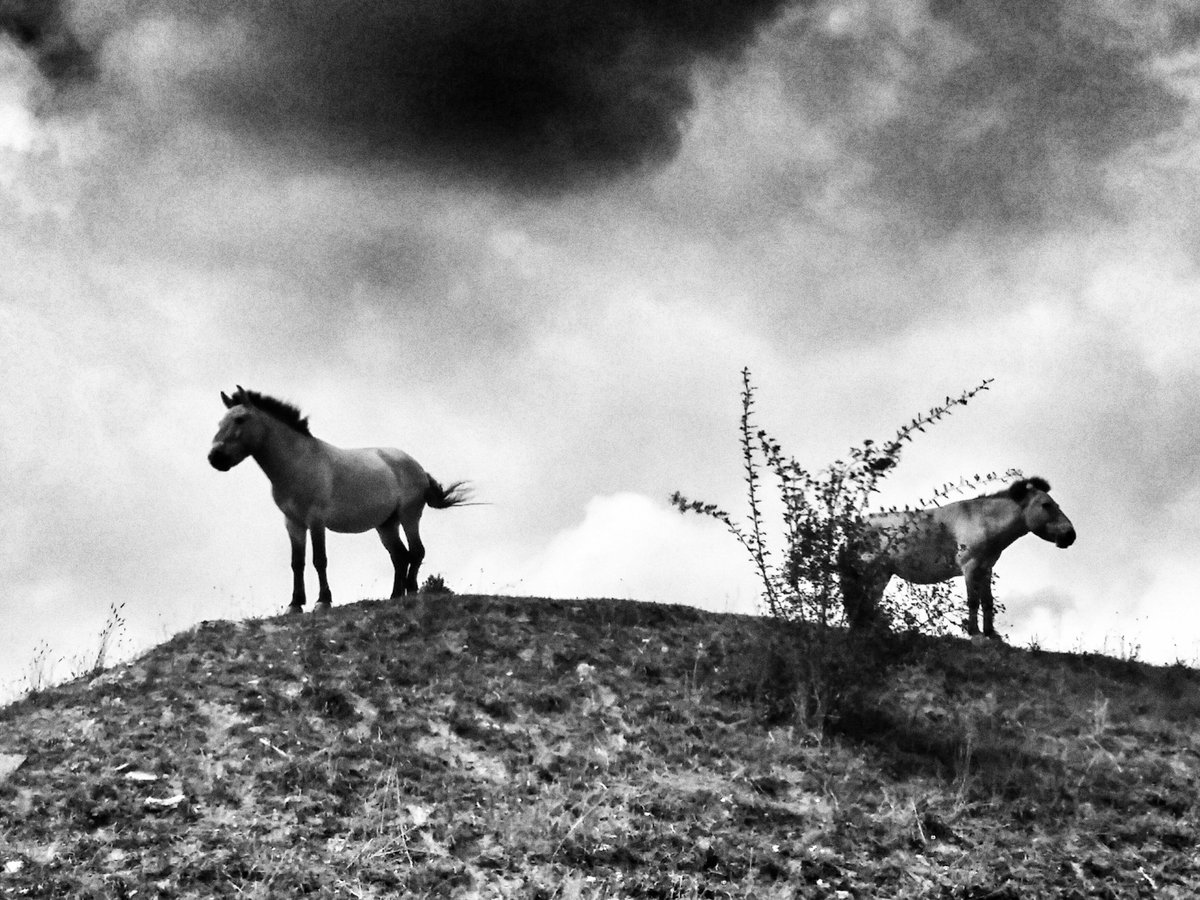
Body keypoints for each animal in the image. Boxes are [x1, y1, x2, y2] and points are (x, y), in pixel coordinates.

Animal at [208, 386, 471, 613]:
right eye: (220, 422)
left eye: (240, 419)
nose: (215, 457)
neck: (298, 462)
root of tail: (418, 467)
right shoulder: (293, 523)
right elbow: (297, 563)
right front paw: (295, 604)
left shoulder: (316, 520)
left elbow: (319, 560)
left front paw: (322, 601)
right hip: (386, 525)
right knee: (400, 556)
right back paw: (395, 596)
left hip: (409, 516)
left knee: (416, 552)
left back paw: (412, 594)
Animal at [839, 476, 1076, 638]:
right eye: (1046, 505)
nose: (1070, 535)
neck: (982, 521)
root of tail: (855, 528)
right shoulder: (970, 567)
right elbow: (973, 601)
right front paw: (975, 633)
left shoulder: (985, 568)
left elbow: (987, 601)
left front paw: (991, 634)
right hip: (873, 572)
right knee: (863, 601)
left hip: (882, 573)